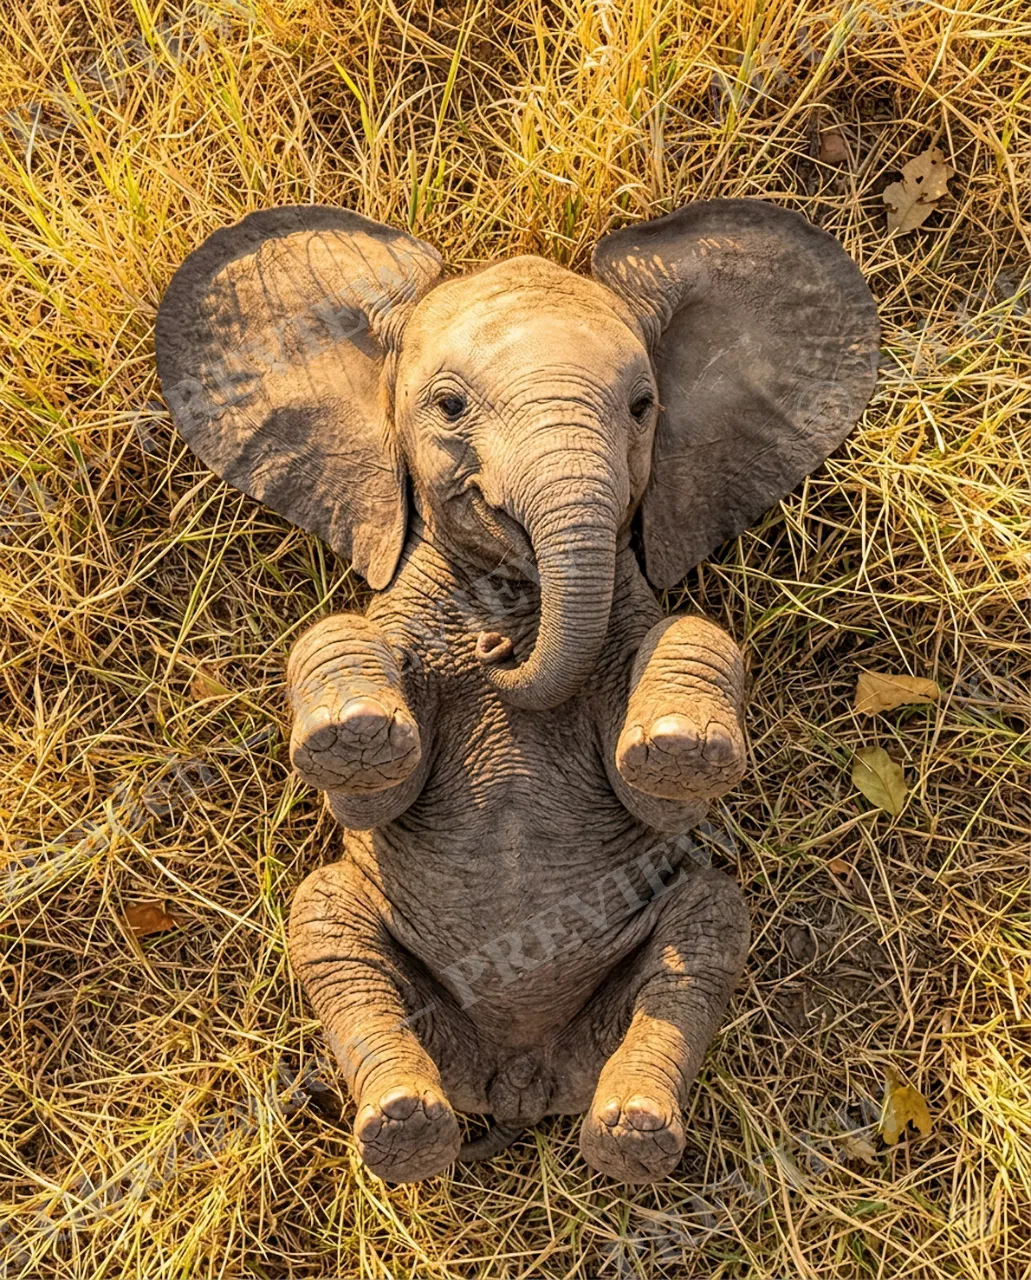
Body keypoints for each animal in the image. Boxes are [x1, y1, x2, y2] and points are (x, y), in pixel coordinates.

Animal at [154, 199, 879, 1184]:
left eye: (643, 408)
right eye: (449, 405)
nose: (500, 648)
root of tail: (517, 1078)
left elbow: (684, 676)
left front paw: (679, 752)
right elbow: (348, 711)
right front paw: (355, 737)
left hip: (657, 952)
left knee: (704, 934)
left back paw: (629, 1136)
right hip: (371, 944)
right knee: (332, 938)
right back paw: (408, 1131)